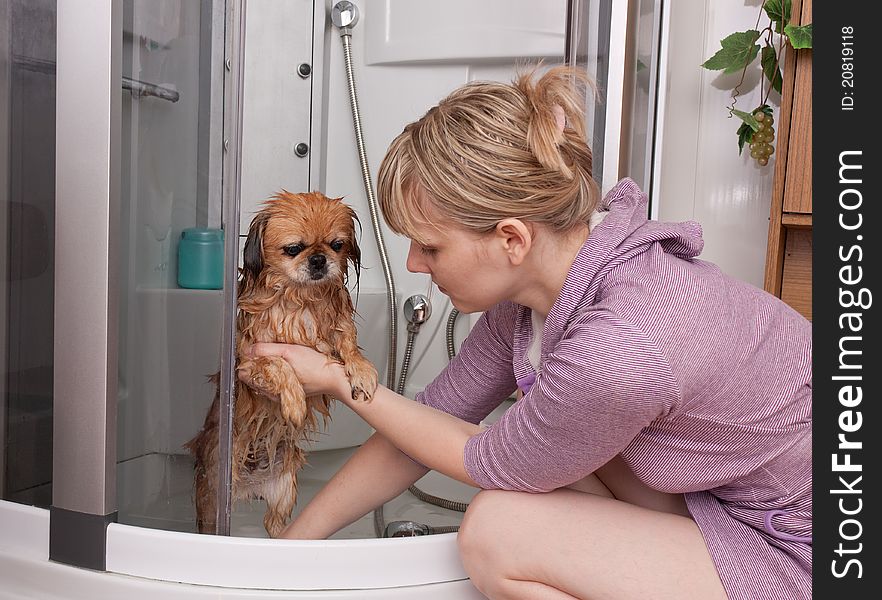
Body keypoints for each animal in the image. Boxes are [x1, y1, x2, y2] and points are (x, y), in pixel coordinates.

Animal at [184, 190, 376, 536]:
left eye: (336, 245)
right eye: (294, 249)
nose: (318, 259)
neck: (300, 300)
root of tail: (249, 488)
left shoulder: (334, 333)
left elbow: (350, 347)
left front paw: (362, 371)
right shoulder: (250, 363)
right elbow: (280, 365)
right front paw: (295, 402)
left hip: (284, 492)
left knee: (277, 527)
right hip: (214, 500)